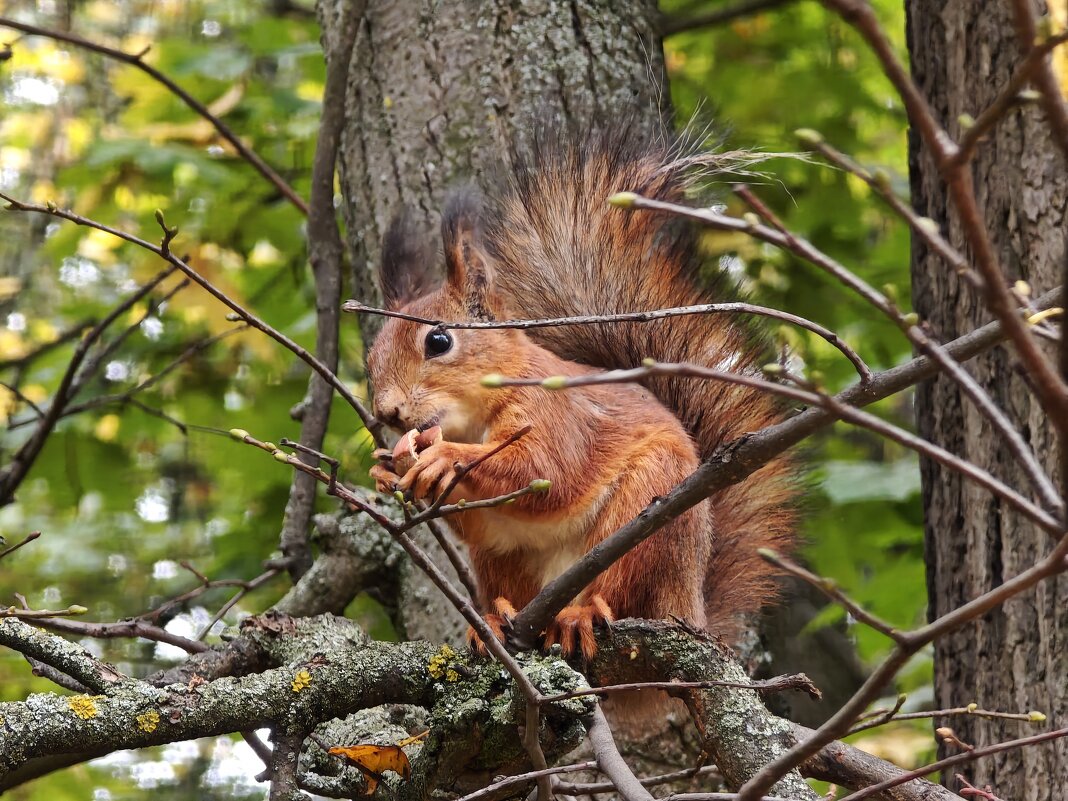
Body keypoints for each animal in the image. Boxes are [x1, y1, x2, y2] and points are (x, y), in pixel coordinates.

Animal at [367, 127, 794, 657]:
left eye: (439, 341)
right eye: (370, 356)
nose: (387, 412)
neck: (473, 420)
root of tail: (689, 606)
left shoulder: (554, 411)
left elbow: (546, 470)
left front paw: (446, 457)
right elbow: (475, 518)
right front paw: (385, 471)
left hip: (647, 518)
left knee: (617, 588)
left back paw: (580, 615)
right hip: (502, 561)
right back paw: (492, 620)